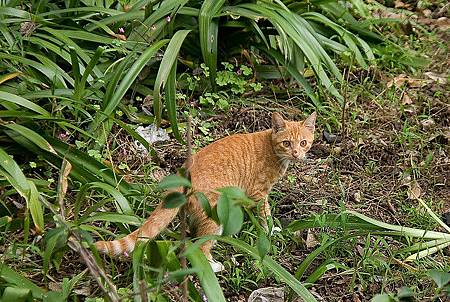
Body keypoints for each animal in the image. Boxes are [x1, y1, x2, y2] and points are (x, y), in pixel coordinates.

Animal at [95, 112, 316, 272]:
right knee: (200, 246)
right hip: (215, 217)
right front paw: (269, 230)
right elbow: (265, 214)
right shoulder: (259, 193)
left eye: (303, 143)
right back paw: (212, 266)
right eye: (287, 143)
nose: (297, 153)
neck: (272, 147)